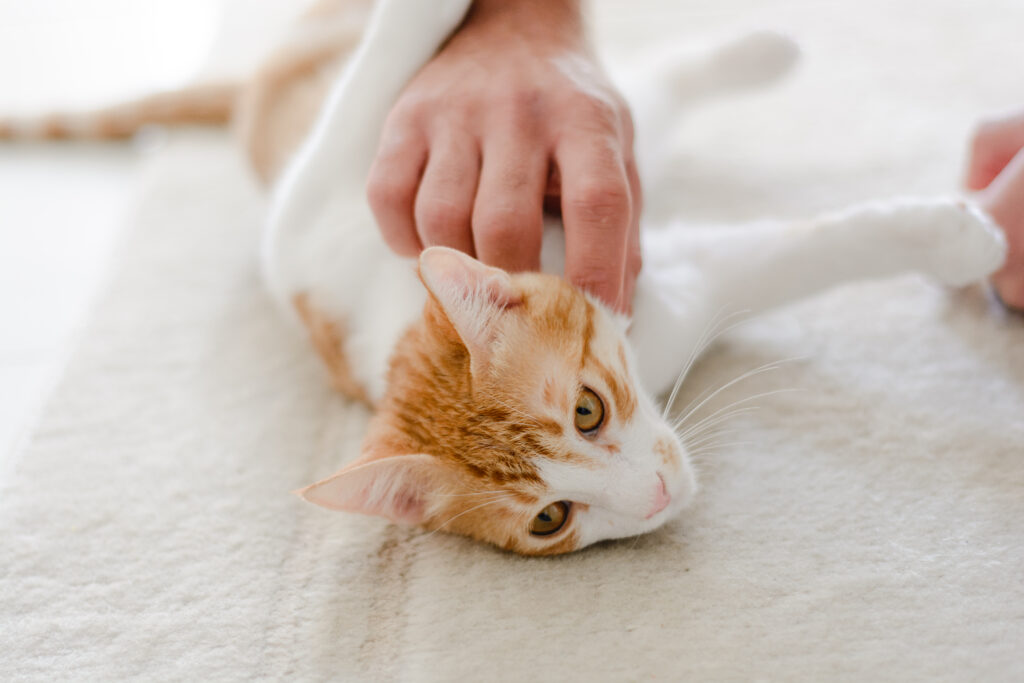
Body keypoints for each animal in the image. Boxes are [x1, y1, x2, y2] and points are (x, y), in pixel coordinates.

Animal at [4, 0, 1003, 557]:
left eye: (588, 410)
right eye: (552, 518)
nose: (653, 499)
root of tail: (252, 86)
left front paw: (958, 237)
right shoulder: (666, 288)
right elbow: (788, 253)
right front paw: (960, 239)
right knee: (646, 98)